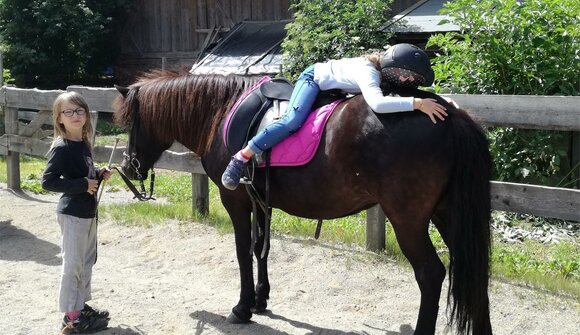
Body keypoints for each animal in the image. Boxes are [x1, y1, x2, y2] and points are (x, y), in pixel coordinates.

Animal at [111, 69, 492, 335]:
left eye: (131, 123)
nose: (129, 165)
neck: (221, 111)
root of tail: (450, 115)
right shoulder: (261, 201)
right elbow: (259, 247)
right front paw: (261, 299)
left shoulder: (236, 200)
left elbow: (242, 251)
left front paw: (242, 308)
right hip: (448, 215)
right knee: (475, 272)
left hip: (408, 220)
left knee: (430, 274)